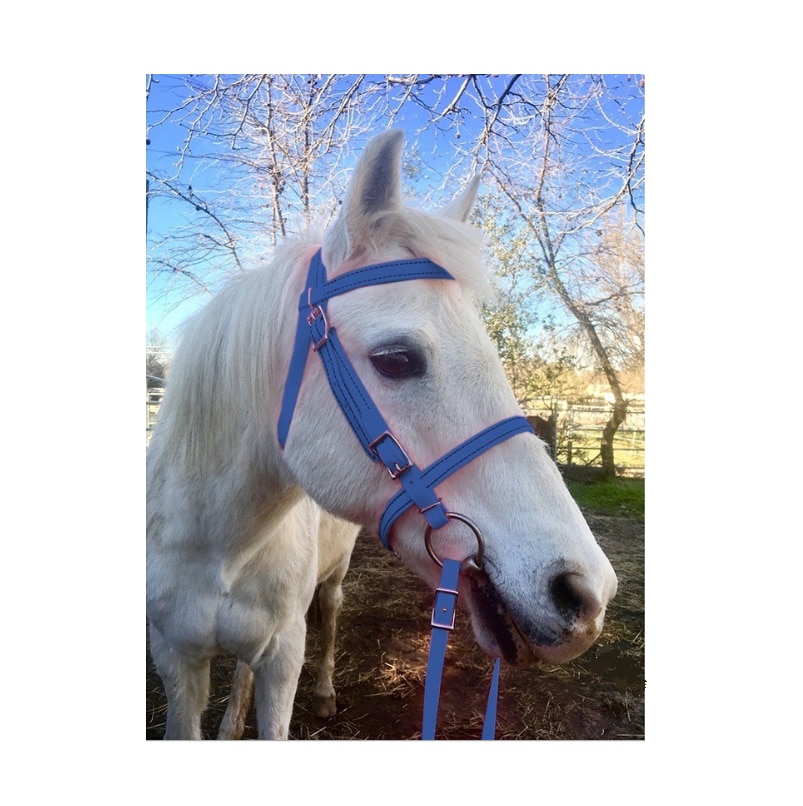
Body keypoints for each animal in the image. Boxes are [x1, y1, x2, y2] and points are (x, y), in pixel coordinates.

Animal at [146, 129, 618, 740]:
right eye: (396, 359)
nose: (587, 592)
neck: (219, 547)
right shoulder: (175, 662)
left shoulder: (282, 656)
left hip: (330, 584)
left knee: (328, 618)